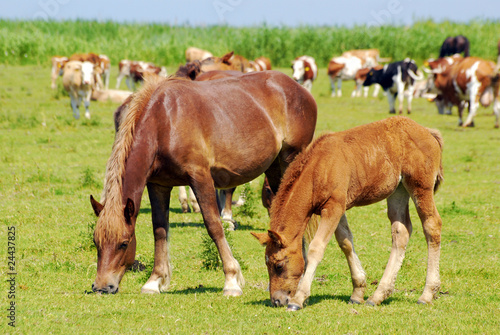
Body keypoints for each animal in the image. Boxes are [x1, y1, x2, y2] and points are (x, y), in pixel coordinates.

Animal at [90, 71, 316, 296]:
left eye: (124, 243)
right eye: (96, 242)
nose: (102, 287)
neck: (164, 122)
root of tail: (299, 89)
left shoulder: (200, 177)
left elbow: (214, 225)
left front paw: (231, 280)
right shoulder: (158, 185)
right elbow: (160, 229)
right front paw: (154, 280)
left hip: (290, 160)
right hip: (274, 168)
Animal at [252, 117, 444, 312]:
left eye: (279, 265)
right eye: (267, 264)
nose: (276, 300)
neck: (319, 168)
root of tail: (428, 132)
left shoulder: (333, 207)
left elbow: (316, 248)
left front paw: (298, 299)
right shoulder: (338, 207)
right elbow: (345, 242)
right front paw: (357, 292)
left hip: (420, 187)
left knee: (432, 225)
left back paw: (427, 294)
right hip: (398, 190)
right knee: (401, 232)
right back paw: (378, 295)